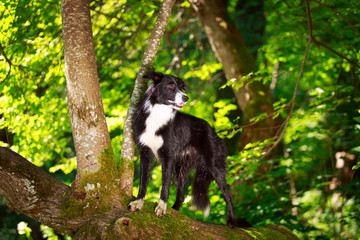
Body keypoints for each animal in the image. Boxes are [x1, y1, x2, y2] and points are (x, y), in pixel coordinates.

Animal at [128, 72, 249, 228]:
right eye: (171, 86)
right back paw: (174, 210)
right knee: (181, 195)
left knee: (227, 194)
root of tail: (213, 130)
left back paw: (231, 221)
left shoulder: (167, 156)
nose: (186, 98)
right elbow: (143, 182)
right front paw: (138, 202)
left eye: (181, 87)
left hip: (214, 166)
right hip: (179, 169)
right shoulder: (145, 154)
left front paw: (161, 208)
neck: (157, 112)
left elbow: (165, 186)